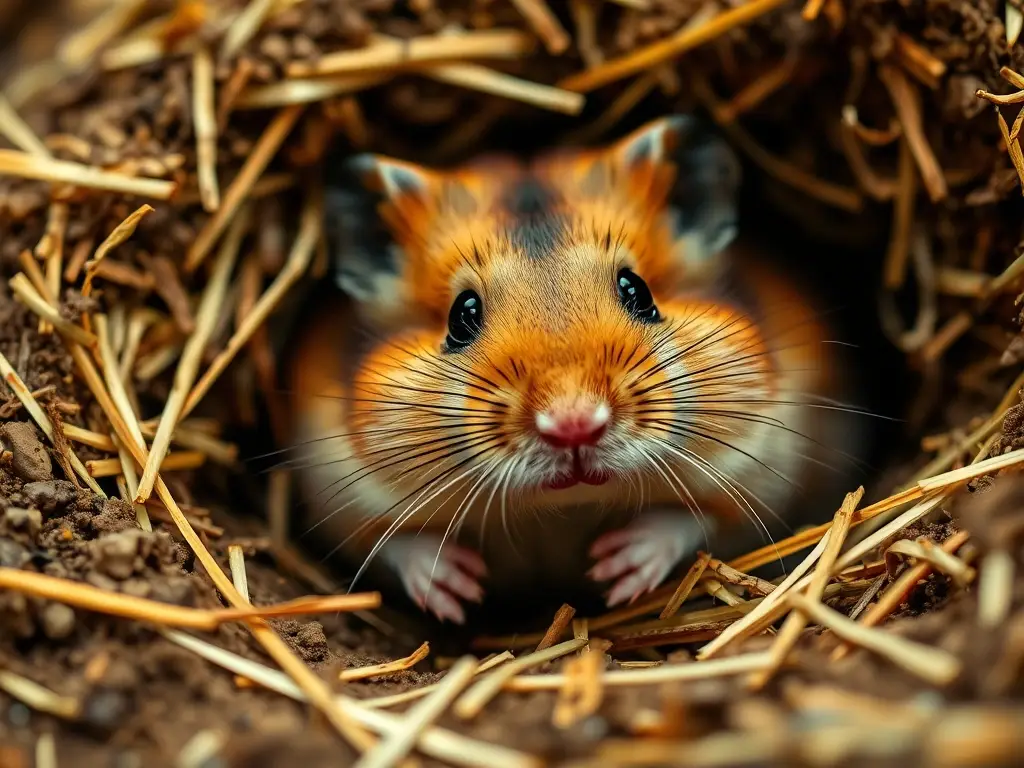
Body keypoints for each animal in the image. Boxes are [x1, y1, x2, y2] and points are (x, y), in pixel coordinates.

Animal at [282, 115, 858, 624]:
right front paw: (458, 591)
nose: (574, 426)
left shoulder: (767, 476)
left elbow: (693, 521)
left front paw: (614, 570)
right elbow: (397, 545)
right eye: (461, 316)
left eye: (637, 291)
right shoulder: (341, 496)